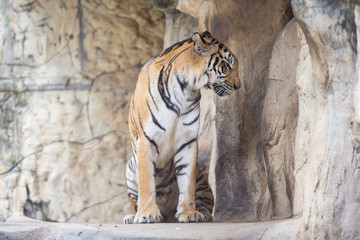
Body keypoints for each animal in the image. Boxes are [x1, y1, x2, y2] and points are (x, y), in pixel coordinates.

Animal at [123, 31, 239, 224]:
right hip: (131, 169)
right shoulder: (146, 140)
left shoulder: (188, 141)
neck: (184, 89)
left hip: (201, 180)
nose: (238, 86)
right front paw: (147, 214)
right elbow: (146, 181)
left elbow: (187, 181)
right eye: (227, 66)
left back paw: (201, 215)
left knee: (207, 204)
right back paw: (132, 216)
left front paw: (189, 212)